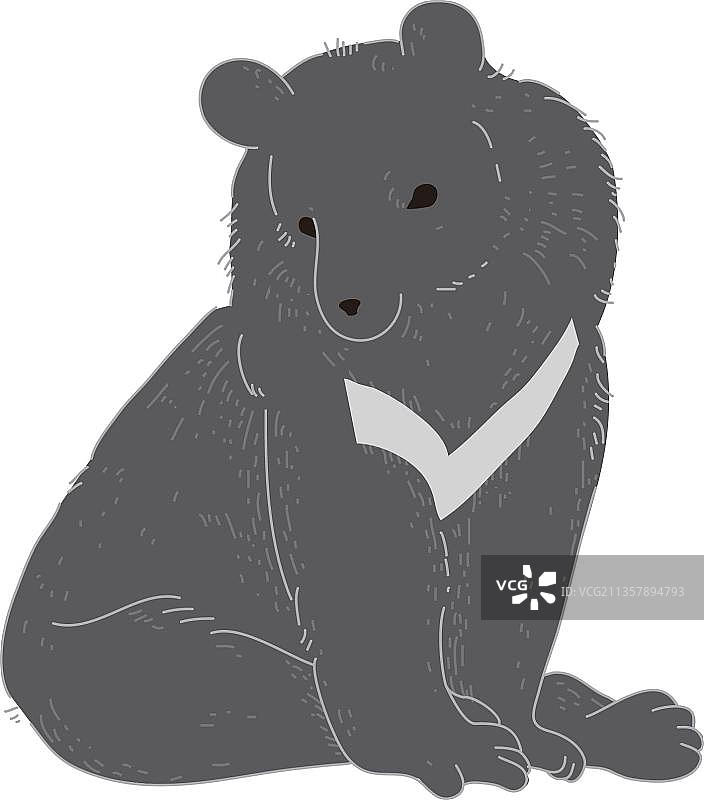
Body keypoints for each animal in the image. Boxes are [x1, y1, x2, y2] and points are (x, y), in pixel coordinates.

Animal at [2, 2, 701, 795]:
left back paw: (643, 725)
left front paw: (525, 729)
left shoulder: (554, 398)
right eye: (306, 222)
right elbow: (369, 570)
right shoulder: (333, 414)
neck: (449, 339)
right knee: (212, 681)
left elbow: (521, 551)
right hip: (102, 633)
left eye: (422, 193)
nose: (349, 305)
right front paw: (458, 744)